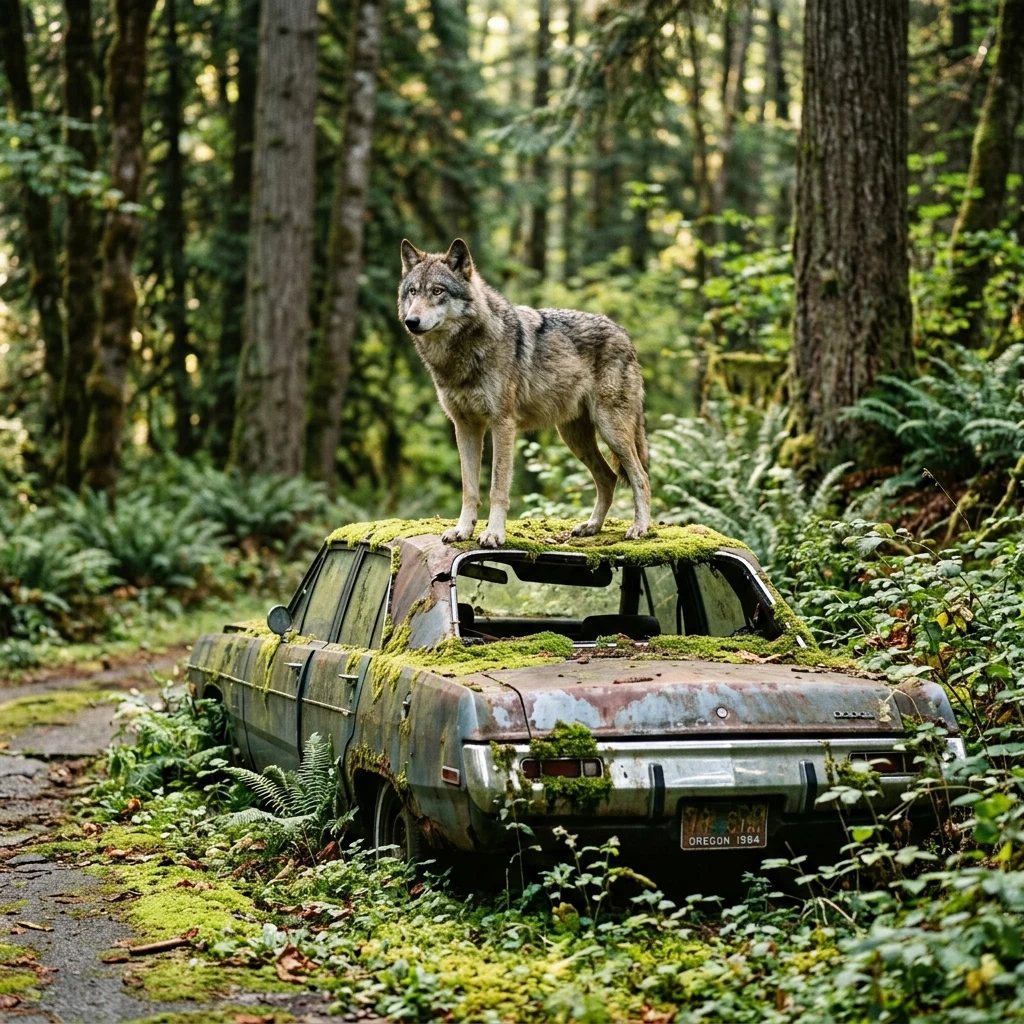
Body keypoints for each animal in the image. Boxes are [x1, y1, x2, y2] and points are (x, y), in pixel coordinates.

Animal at [398, 238, 651, 548]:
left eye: (437, 291)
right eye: (412, 291)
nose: (411, 321)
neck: (462, 355)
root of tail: (624, 333)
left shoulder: (502, 424)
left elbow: (497, 487)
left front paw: (493, 534)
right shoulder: (465, 426)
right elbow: (469, 489)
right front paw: (462, 531)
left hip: (611, 430)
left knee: (640, 477)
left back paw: (640, 528)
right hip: (574, 437)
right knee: (608, 478)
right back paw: (591, 526)